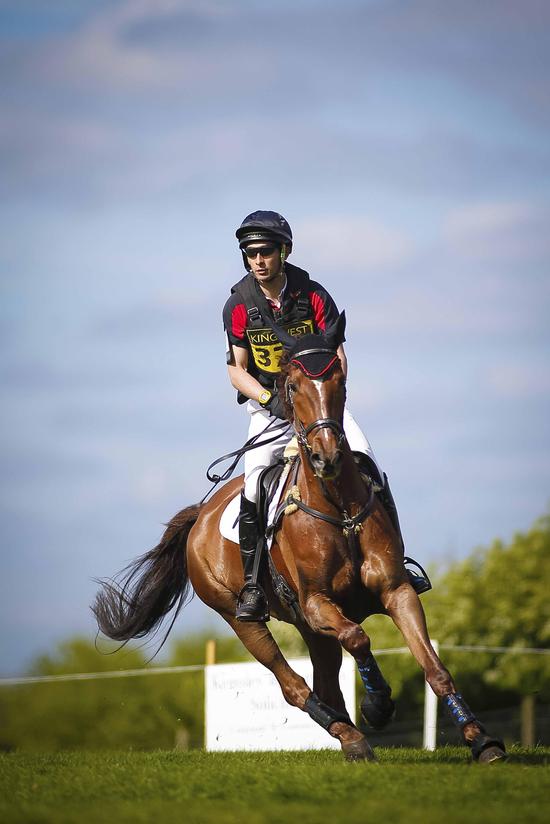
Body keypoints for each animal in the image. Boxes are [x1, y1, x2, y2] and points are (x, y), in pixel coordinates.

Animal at [91, 312, 508, 764]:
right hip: (243, 618)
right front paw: (378, 704)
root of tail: (200, 517)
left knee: (324, 683)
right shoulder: (317, 603)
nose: (328, 457)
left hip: (306, 626)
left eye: (340, 380)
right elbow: (358, 637)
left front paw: (482, 740)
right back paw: (349, 733)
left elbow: (434, 667)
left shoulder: (395, 590)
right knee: (294, 686)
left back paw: (350, 737)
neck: (338, 509)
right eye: (292, 386)